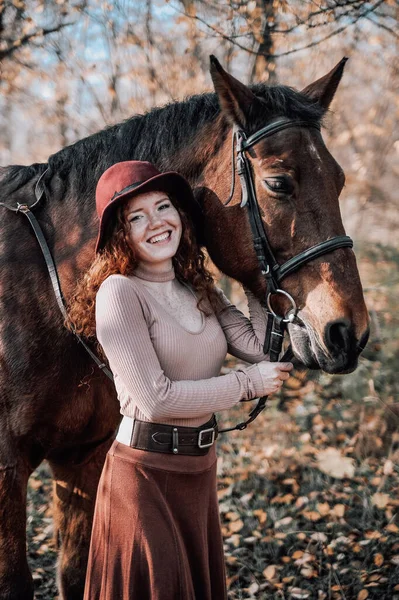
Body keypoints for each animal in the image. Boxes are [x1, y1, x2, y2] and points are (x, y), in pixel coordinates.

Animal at [0, 57, 368, 600]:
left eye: (340, 181)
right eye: (279, 183)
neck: (48, 287)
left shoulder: (82, 457)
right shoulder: (6, 469)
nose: (349, 333)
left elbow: (77, 571)